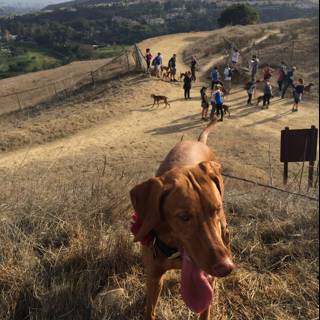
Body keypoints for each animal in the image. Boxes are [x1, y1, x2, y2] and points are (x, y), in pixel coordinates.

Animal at [130, 119, 235, 318]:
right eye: (184, 216)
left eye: (216, 209)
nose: (225, 267)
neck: (173, 249)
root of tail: (198, 141)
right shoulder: (153, 277)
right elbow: (149, 311)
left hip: (224, 231)